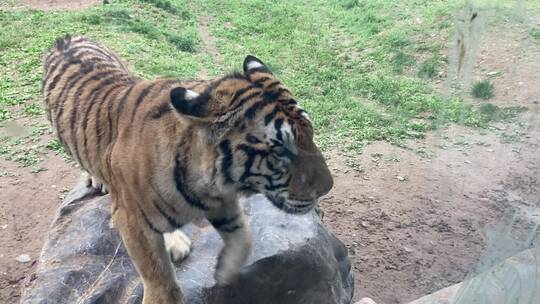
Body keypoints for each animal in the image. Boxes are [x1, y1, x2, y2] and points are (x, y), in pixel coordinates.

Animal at [43, 35, 334, 304]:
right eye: (280, 150)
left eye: (311, 133)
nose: (328, 188)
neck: (211, 182)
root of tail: (65, 38)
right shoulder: (131, 219)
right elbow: (160, 278)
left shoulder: (221, 199)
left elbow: (244, 236)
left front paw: (225, 272)